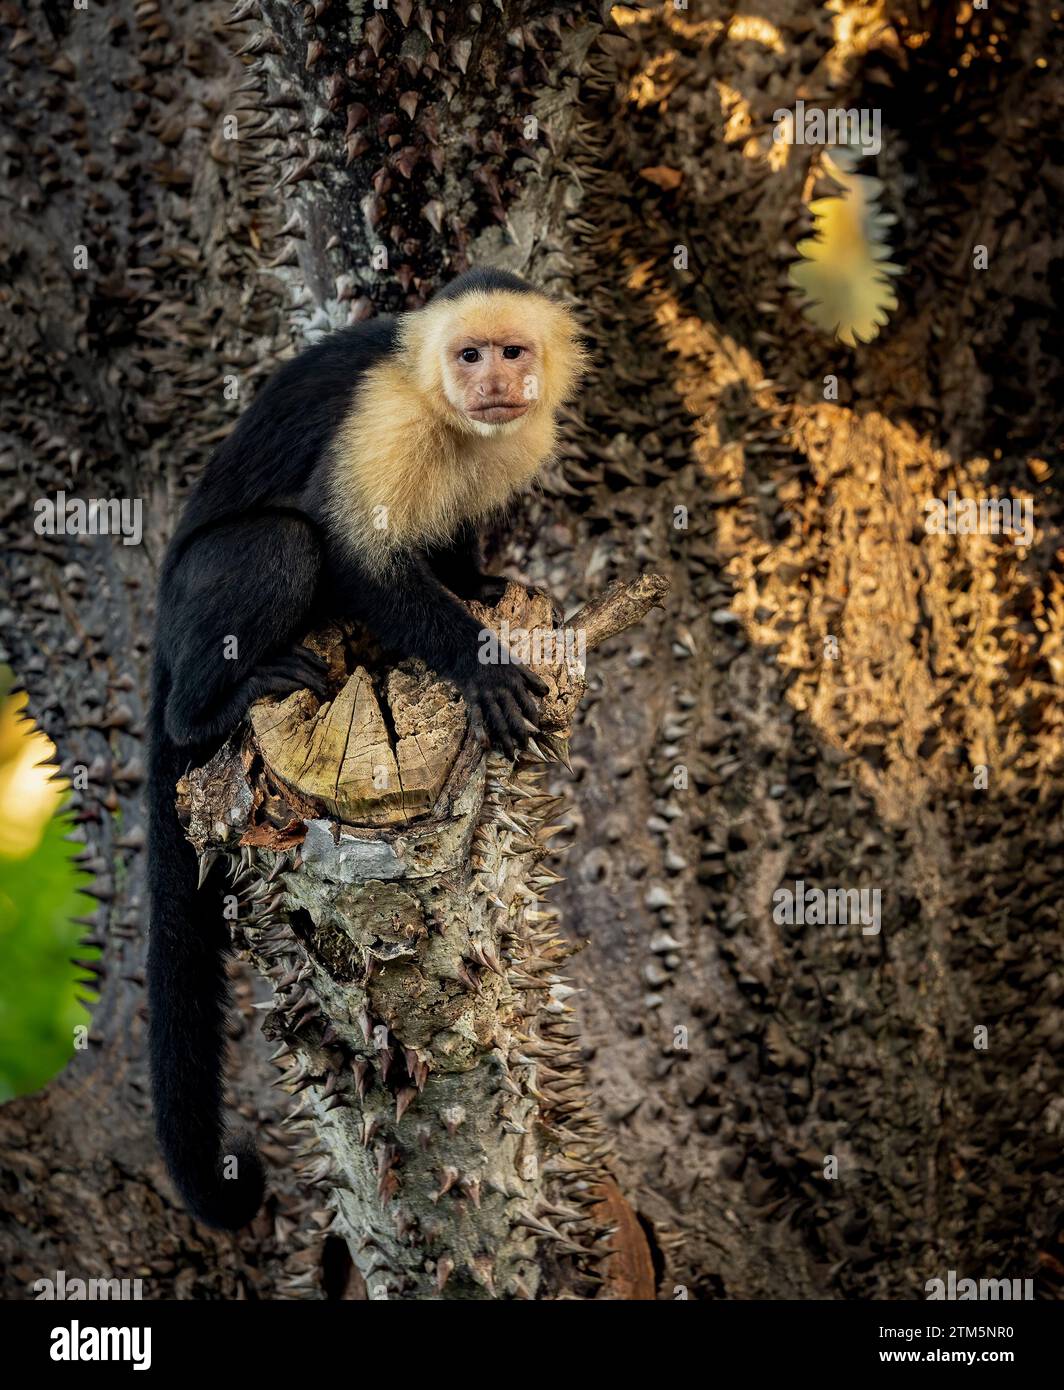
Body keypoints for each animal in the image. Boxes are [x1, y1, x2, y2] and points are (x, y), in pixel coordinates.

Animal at [146, 267, 587, 1229]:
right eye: (468, 354)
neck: (448, 413)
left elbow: (448, 531)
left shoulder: (514, 435)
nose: (494, 379)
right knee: (281, 544)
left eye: (512, 352)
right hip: (190, 609)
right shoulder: (387, 410)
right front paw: (475, 660)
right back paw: (205, 710)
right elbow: (351, 549)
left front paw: (482, 586)